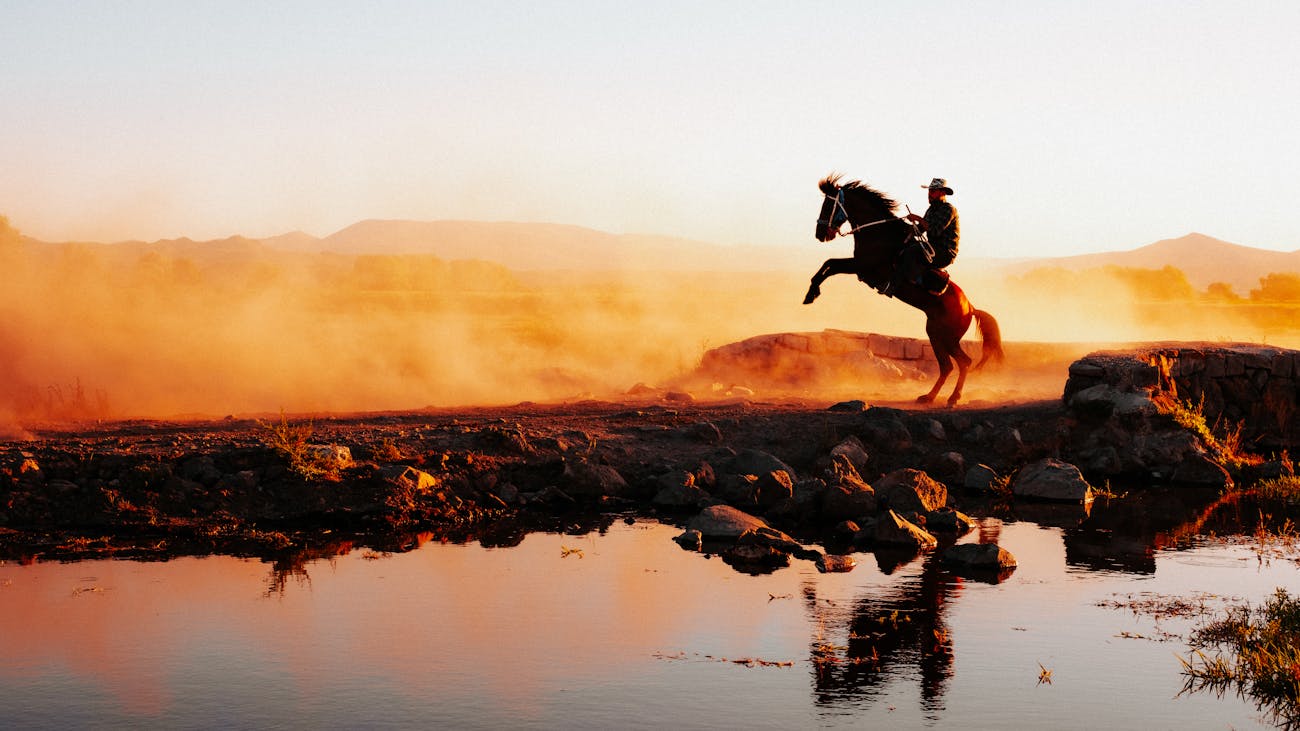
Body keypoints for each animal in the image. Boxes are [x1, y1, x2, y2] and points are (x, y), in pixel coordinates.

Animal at [800, 174, 1003, 405]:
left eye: (828, 206)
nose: (820, 234)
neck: (879, 234)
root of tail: (970, 308)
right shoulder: (859, 266)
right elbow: (829, 264)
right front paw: (811, 293)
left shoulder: (862, 266)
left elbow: (830, 265)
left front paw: (811, 293)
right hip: (935, 334)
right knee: (947, 366)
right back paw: (928, 396)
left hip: (948, 338)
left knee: (964, 362)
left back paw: (953, 398)